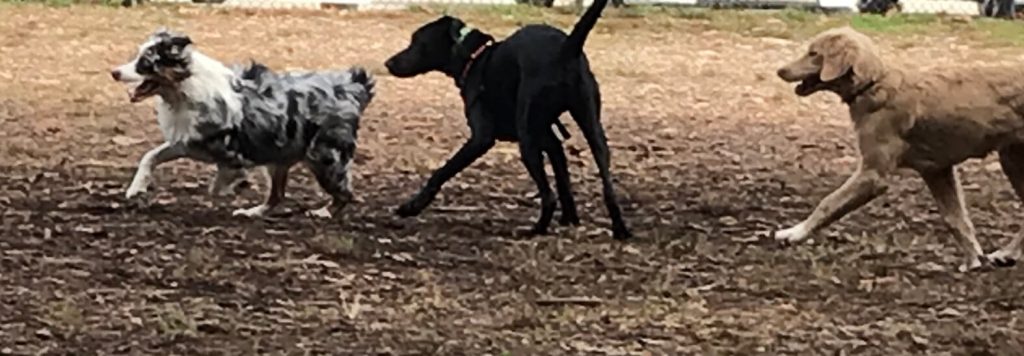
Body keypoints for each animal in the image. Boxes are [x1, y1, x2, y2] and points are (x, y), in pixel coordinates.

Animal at [382, 0, 626, 242]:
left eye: (417, 41)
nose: (388, 63)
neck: (475, 58)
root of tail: (566, 49)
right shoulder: (550, 140)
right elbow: (563, 179)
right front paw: (570, 218)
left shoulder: (482, 138)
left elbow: (442, 171)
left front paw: (412, 206)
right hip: (593, 129)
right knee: (607, 185)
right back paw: (620, 228)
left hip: (527, 143)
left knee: (548, 196)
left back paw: (535, 230)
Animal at [774, 27, 1024, 272]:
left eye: (813, 53)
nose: (779, 70)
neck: (873, 85)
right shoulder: (936, 171)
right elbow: (955, 219)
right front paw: (973, 260)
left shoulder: (872, 175)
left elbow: (828, 202)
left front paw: (794, 233)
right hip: (1011, 160)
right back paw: (1006, 255)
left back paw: (1006, 253)